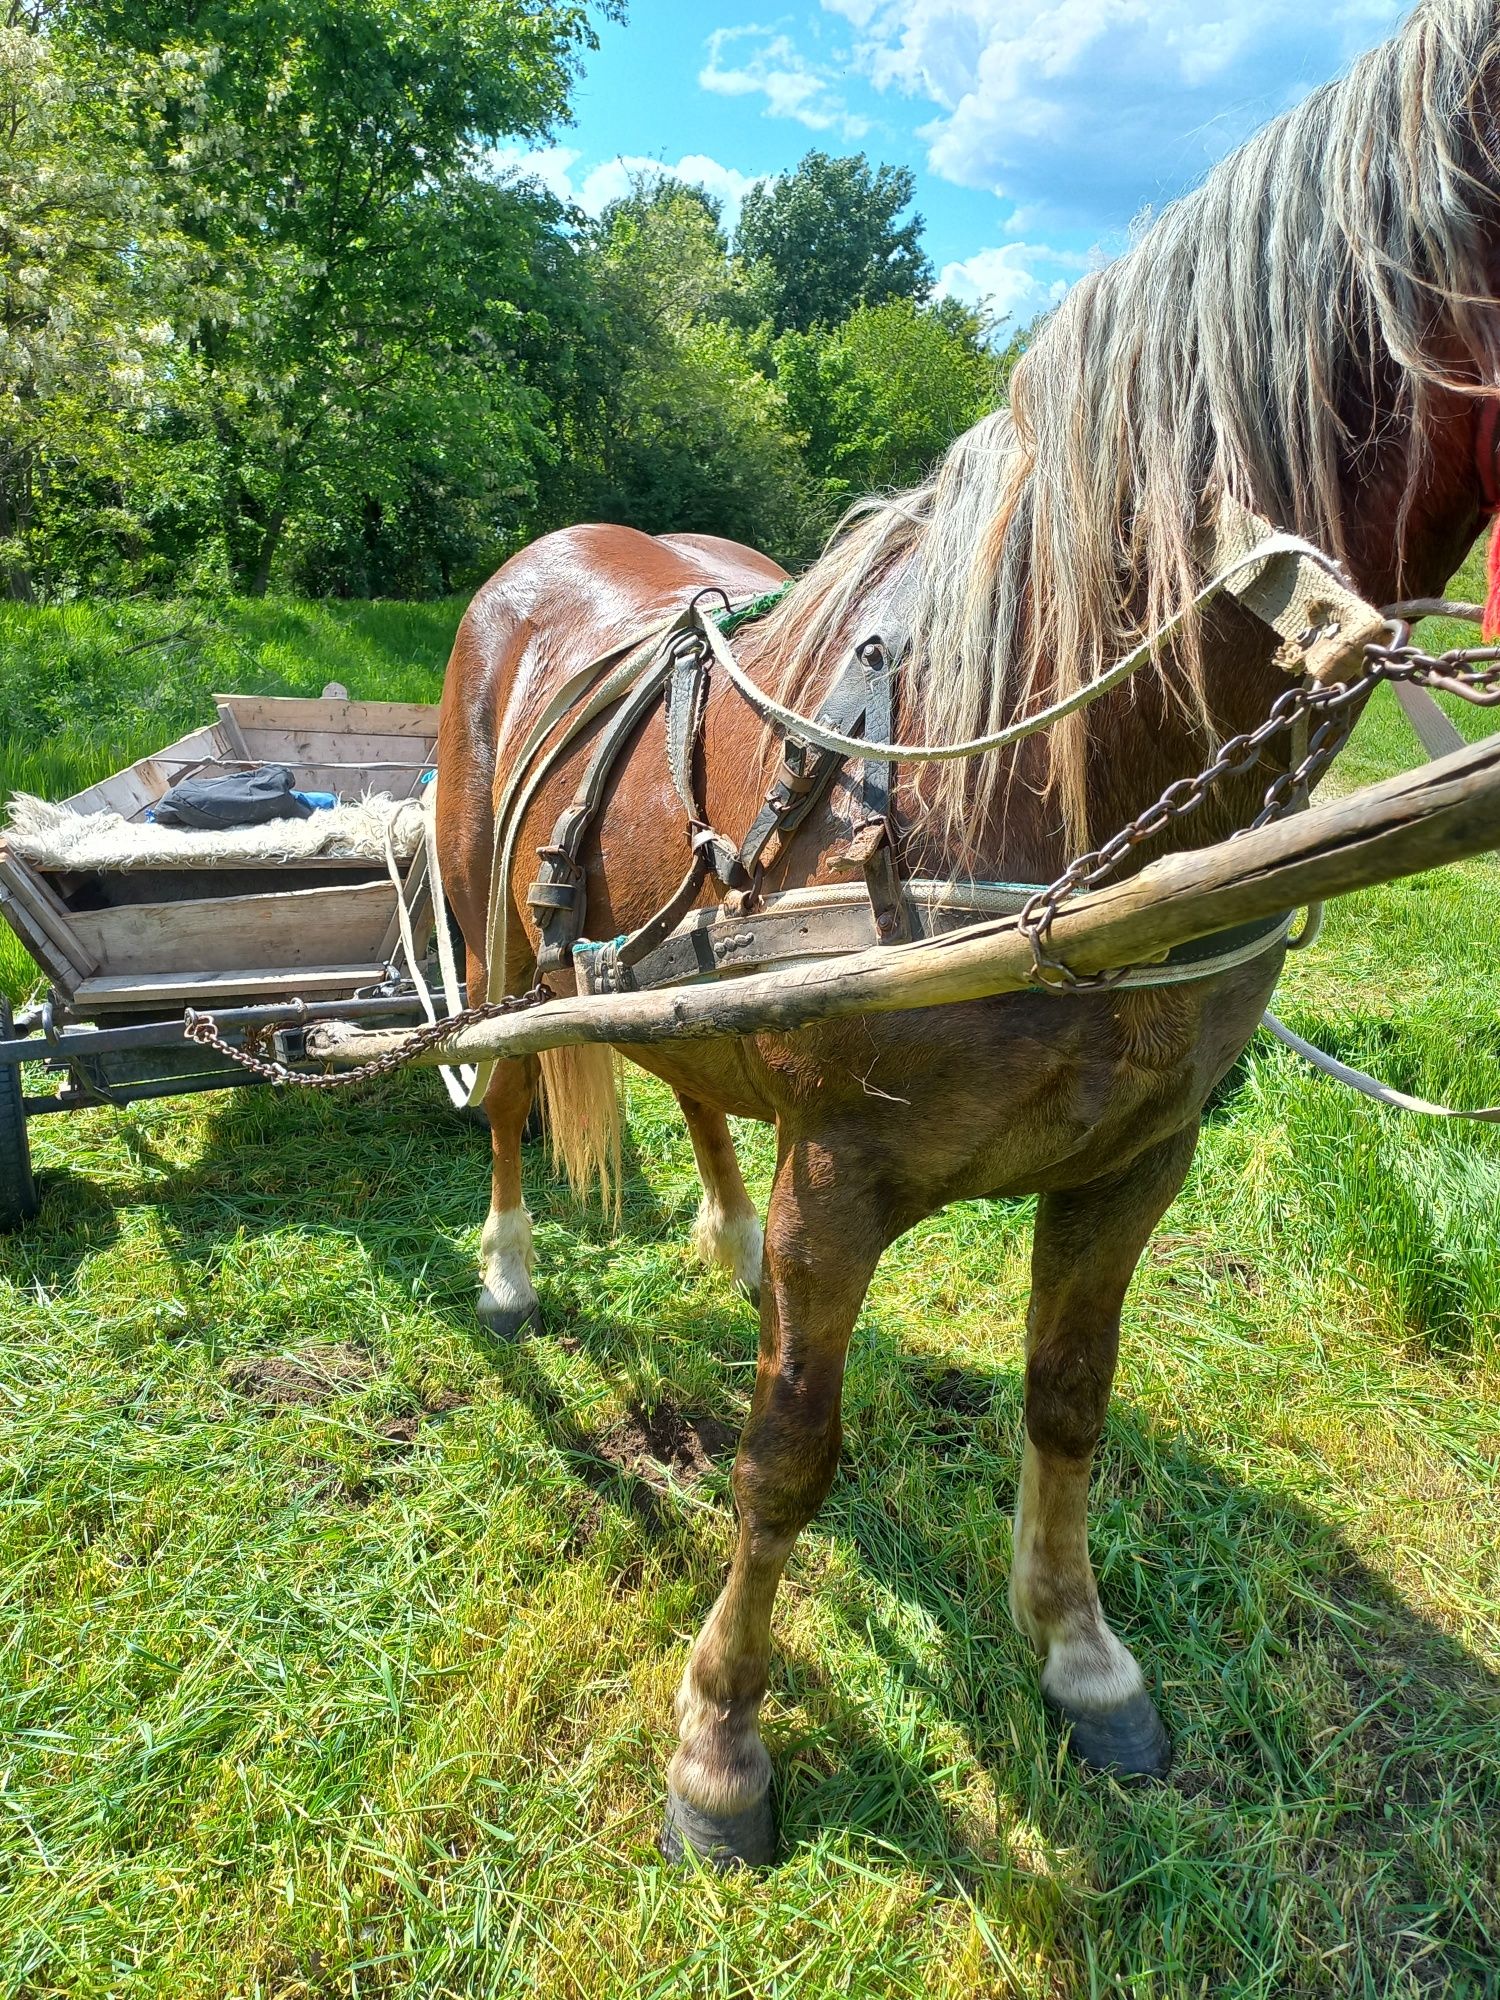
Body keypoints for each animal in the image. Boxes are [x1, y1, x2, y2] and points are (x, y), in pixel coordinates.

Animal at [432, 3, 1496, 1872]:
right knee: (501, 1088)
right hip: (497, 945)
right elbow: (786, 1454)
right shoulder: (843, 1178)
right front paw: (722, 1746)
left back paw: (715, 1234)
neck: (1055, 769)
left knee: (691, 1075)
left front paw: (1080, 1661)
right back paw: (505, 1265)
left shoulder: (1137, 1160)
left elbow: (1069, 1399)